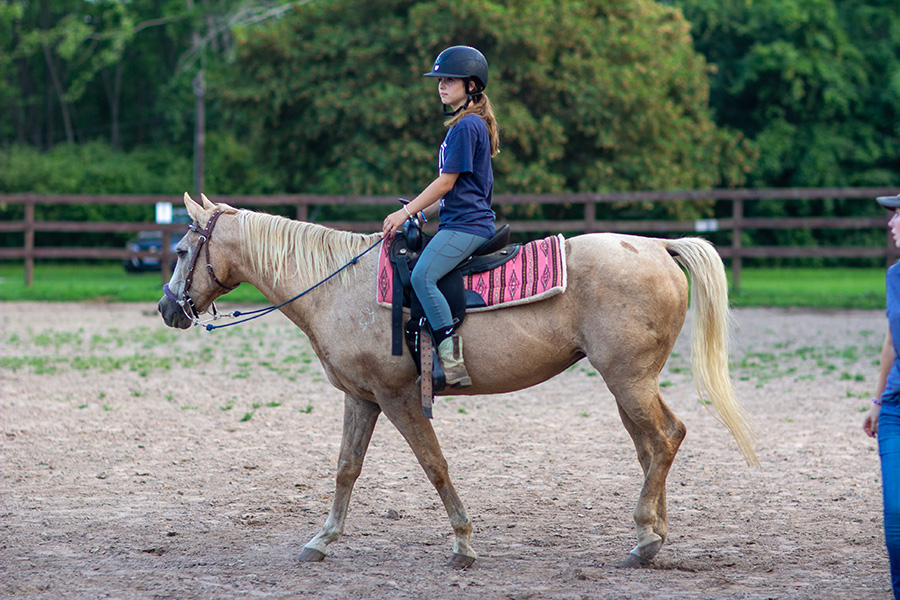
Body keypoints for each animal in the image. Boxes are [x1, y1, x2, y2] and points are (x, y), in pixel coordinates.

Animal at [158, 192, 756, 568]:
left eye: (183, 250)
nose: (167, 308)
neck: (336, 286)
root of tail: (657, 246)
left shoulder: (399, 398)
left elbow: (434, 465)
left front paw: (464, 545)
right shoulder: (362, 399)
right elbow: (347, 469)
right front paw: (321, 541)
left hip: (628, 380)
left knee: (665, 439)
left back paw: (644, 539)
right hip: (627, 384)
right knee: (652, 447)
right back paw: (652, 535)